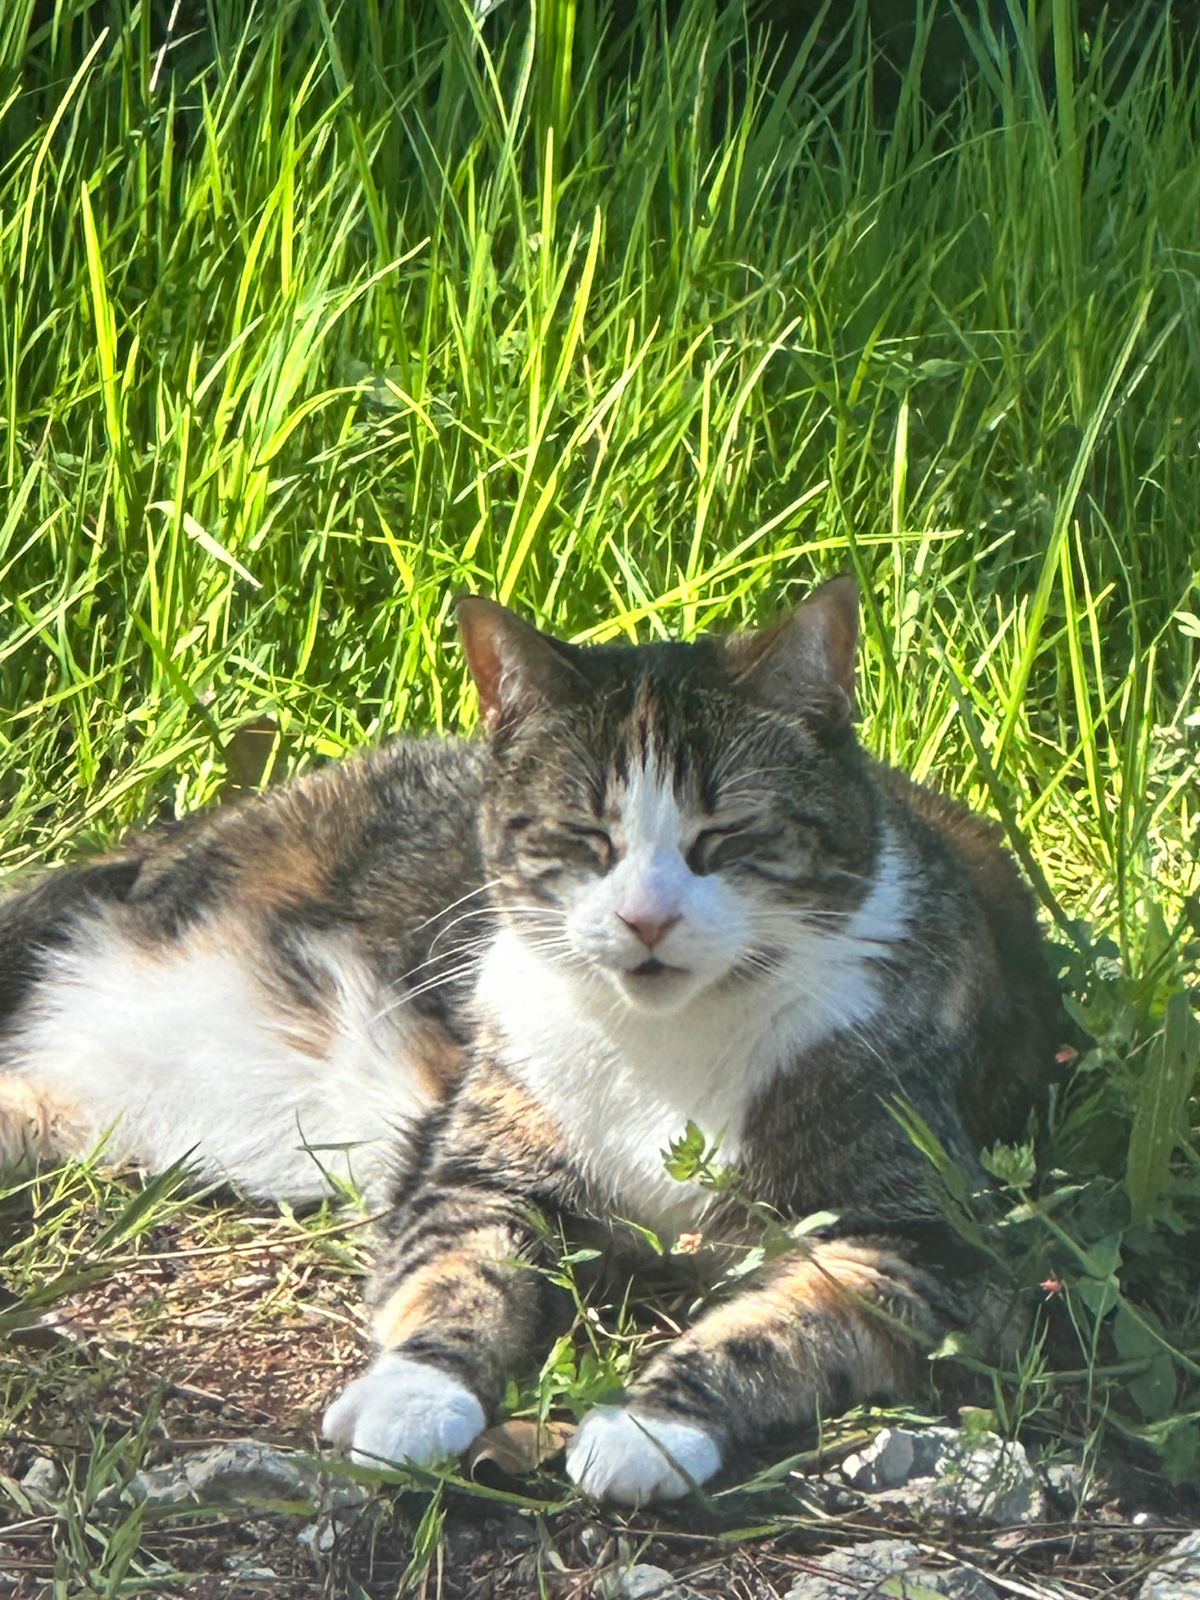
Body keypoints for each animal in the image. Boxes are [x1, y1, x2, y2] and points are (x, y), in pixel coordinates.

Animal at [0, 578, 1059, 1505]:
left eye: (725, 837)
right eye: (584, 837)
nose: (646, 919)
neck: (660, 1044)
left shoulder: (925, 1245)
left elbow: (777, 1331)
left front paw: (651, 1424)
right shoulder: (478, 1173)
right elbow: (463, 1274)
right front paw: (414, 1393)